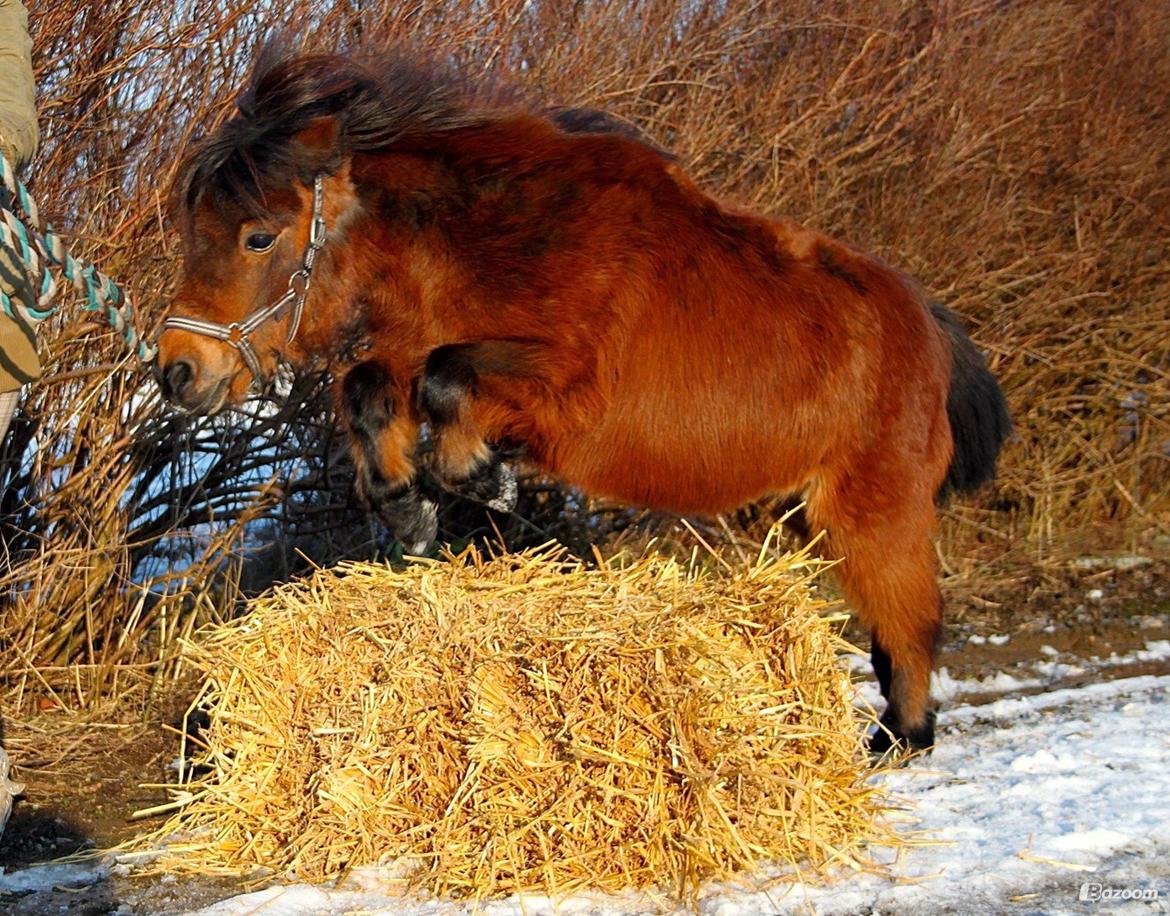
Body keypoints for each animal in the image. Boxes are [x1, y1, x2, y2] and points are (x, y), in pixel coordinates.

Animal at [155, 46, 1010, 758]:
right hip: (810, 511)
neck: (508, 243)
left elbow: (445, 380)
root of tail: (928, 324)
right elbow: (373, 386)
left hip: (874, 513)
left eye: (259, 237)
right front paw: (409, 507)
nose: (177, 372)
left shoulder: (567, 387)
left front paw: (482, 478)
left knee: (911, 624)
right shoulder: (412, 347)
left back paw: (900, 739)